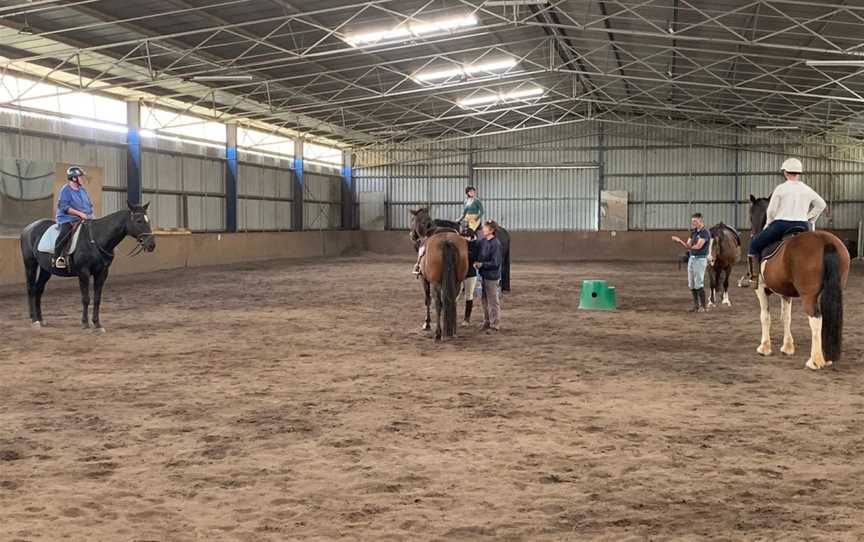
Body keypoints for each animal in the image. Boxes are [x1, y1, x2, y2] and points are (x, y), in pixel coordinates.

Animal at [20, 203, 157, 332]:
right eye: (139, 220)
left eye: (149, 220)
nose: (151, 245)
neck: (96, 239)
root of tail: (28, 228)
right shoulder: (83, 272)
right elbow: (86, 298)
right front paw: (85, 323)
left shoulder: (102, 273)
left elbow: (97, 299)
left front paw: (97, 324)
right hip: (30, 264)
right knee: (31, 288)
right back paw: (34, 320)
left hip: (46, 269)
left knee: (39, 289)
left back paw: (41, 319)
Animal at [408, 208, 470, 340]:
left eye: (412, 219)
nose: (411, 235)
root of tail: (447, 241)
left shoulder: (424, 280)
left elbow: (427, 300)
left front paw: (427, 323)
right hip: (457, 282)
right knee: (452, 301)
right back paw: (453, 330)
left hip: (435, 283)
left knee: (438, 303)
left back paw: (438, 333)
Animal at [744, 196, 852, 370]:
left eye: (750, 215)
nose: (753, 234)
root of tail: (825, 241)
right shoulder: (785, 293)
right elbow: (786, 317)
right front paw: (787, 347)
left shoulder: (760, 290)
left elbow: (765, 316)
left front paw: (764, 347)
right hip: (834, 290)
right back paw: (826, 357)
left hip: (808, 296)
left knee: (816, 319)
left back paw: (815, 361)